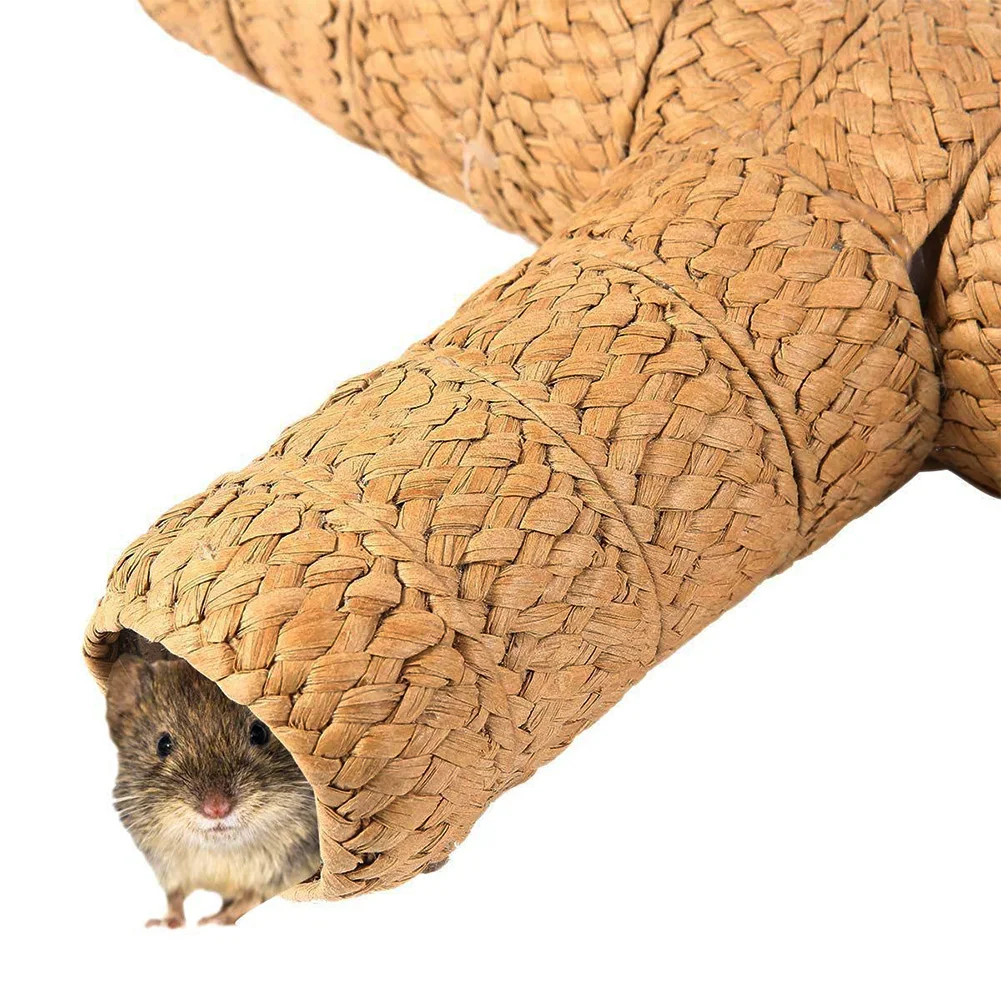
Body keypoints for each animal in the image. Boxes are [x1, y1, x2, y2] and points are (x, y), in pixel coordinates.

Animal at [105, 654, 320, 927]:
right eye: (163, 744)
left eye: (259, 732)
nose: (216, 810)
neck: (221, 852)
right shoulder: (169, 869)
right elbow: (174, 897)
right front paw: (166, 923)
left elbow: (250, 898)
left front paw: (215, 920)